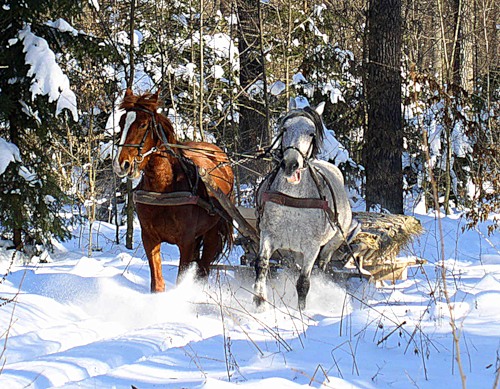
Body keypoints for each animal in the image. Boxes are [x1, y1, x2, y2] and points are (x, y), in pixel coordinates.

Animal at [112, 89, 233, 292]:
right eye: (122, 123)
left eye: (143, 124)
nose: (121, 164)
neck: (163, 191)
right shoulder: (150, 238)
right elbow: (157, 283)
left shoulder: (187, 242)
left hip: (213, 232)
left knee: (203, 268)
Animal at [254, 101, 356, 308]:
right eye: (284, 129)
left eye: (311, 133)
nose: (290, 164)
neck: (292, 201)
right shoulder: (268, 234)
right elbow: (261, 264)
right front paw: (259, 301)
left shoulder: (312, 247)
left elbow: (303, 283)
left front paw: (300, 311)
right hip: (291, 250)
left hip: (332, 243)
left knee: (322, 265)